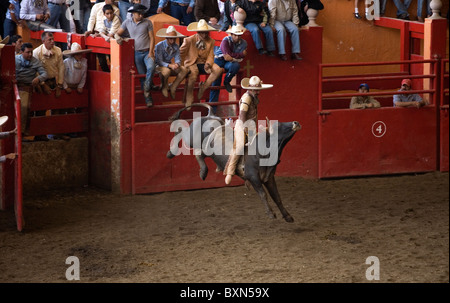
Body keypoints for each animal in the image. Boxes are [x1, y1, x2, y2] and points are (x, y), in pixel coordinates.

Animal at [166, 104, 302, 223]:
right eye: (278, 125)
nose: (296, 122)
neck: (261, 151)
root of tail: (210, 115)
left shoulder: (269, 178)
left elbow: (277, 197)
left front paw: (288, 216)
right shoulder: (253, 178)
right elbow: (263, 194)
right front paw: (271, 213)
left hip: (206, 150)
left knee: (199, 154)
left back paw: (203, 171)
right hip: (190, 138)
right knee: (181, 131)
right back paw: (171, 153)